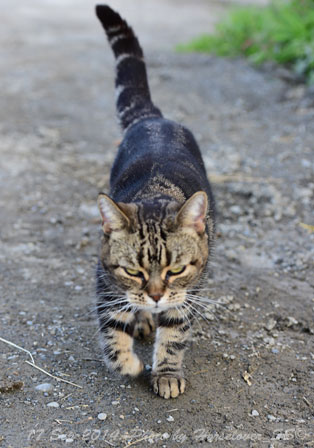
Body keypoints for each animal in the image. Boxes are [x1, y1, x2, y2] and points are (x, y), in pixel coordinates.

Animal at [94, 4, 215, 400]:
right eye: (134, 272)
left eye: (175, 270)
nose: (157, 295)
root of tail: (153, 119)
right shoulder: (106, 285)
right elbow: (113, 339)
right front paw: (131, 364)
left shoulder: (186, 293)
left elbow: (174, 337)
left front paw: (166, 373)